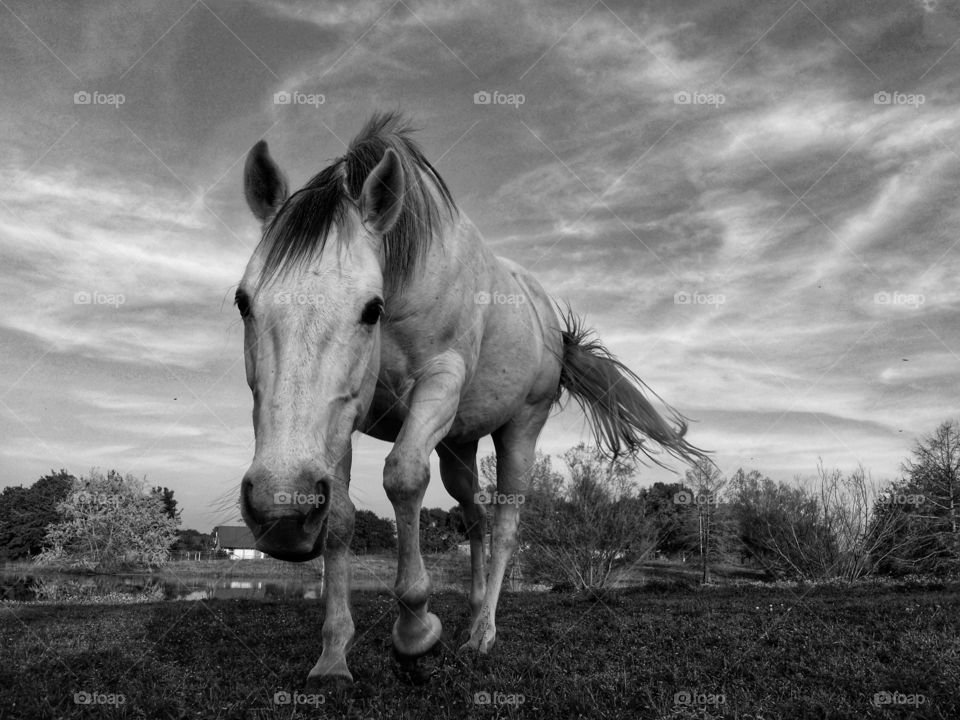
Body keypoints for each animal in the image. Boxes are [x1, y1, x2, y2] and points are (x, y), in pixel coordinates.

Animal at [232, 112, 696, 688]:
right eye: (243, 301)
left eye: (371, 308)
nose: (280, 512)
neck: (407, 276)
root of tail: (552, 326)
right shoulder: (341, 421)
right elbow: (338, 518)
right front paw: (334, 656)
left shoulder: (439, 385)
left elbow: (403, 477)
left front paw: (415, 629)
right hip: (458, 441)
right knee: (474, 515)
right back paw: (472, 615)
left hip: (519, 429)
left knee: (504, 524)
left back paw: (484, 634)